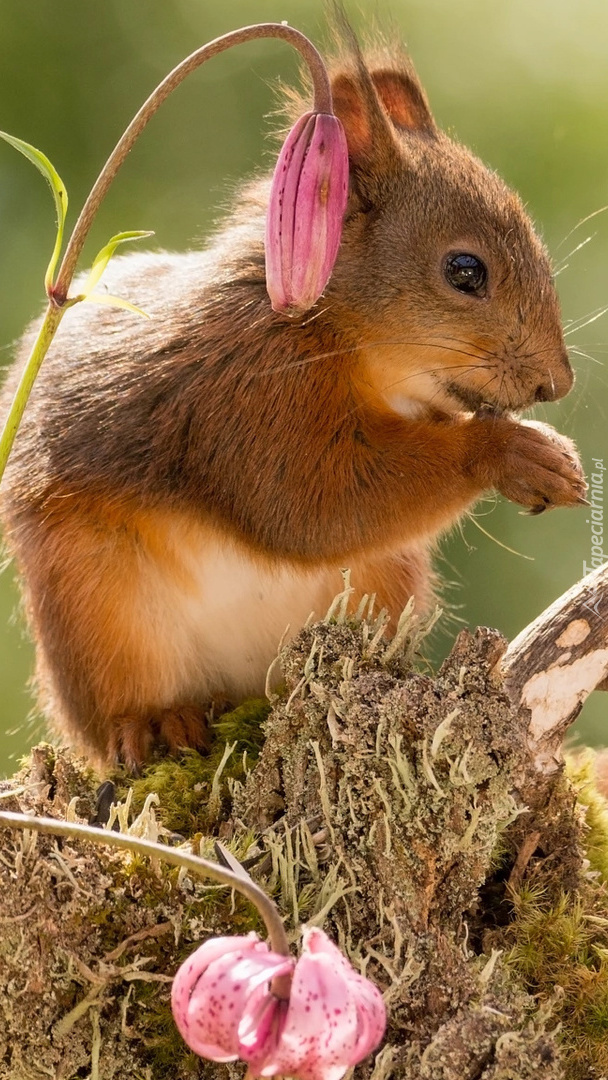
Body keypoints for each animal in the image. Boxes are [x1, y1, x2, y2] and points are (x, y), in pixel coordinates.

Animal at [1, 33, 591, 768]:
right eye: (465, 270)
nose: (556, 385)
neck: (332, 334)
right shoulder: (243, 395)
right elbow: (307, 502)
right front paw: (518, 452)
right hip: (96, 613)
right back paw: (156, 723)